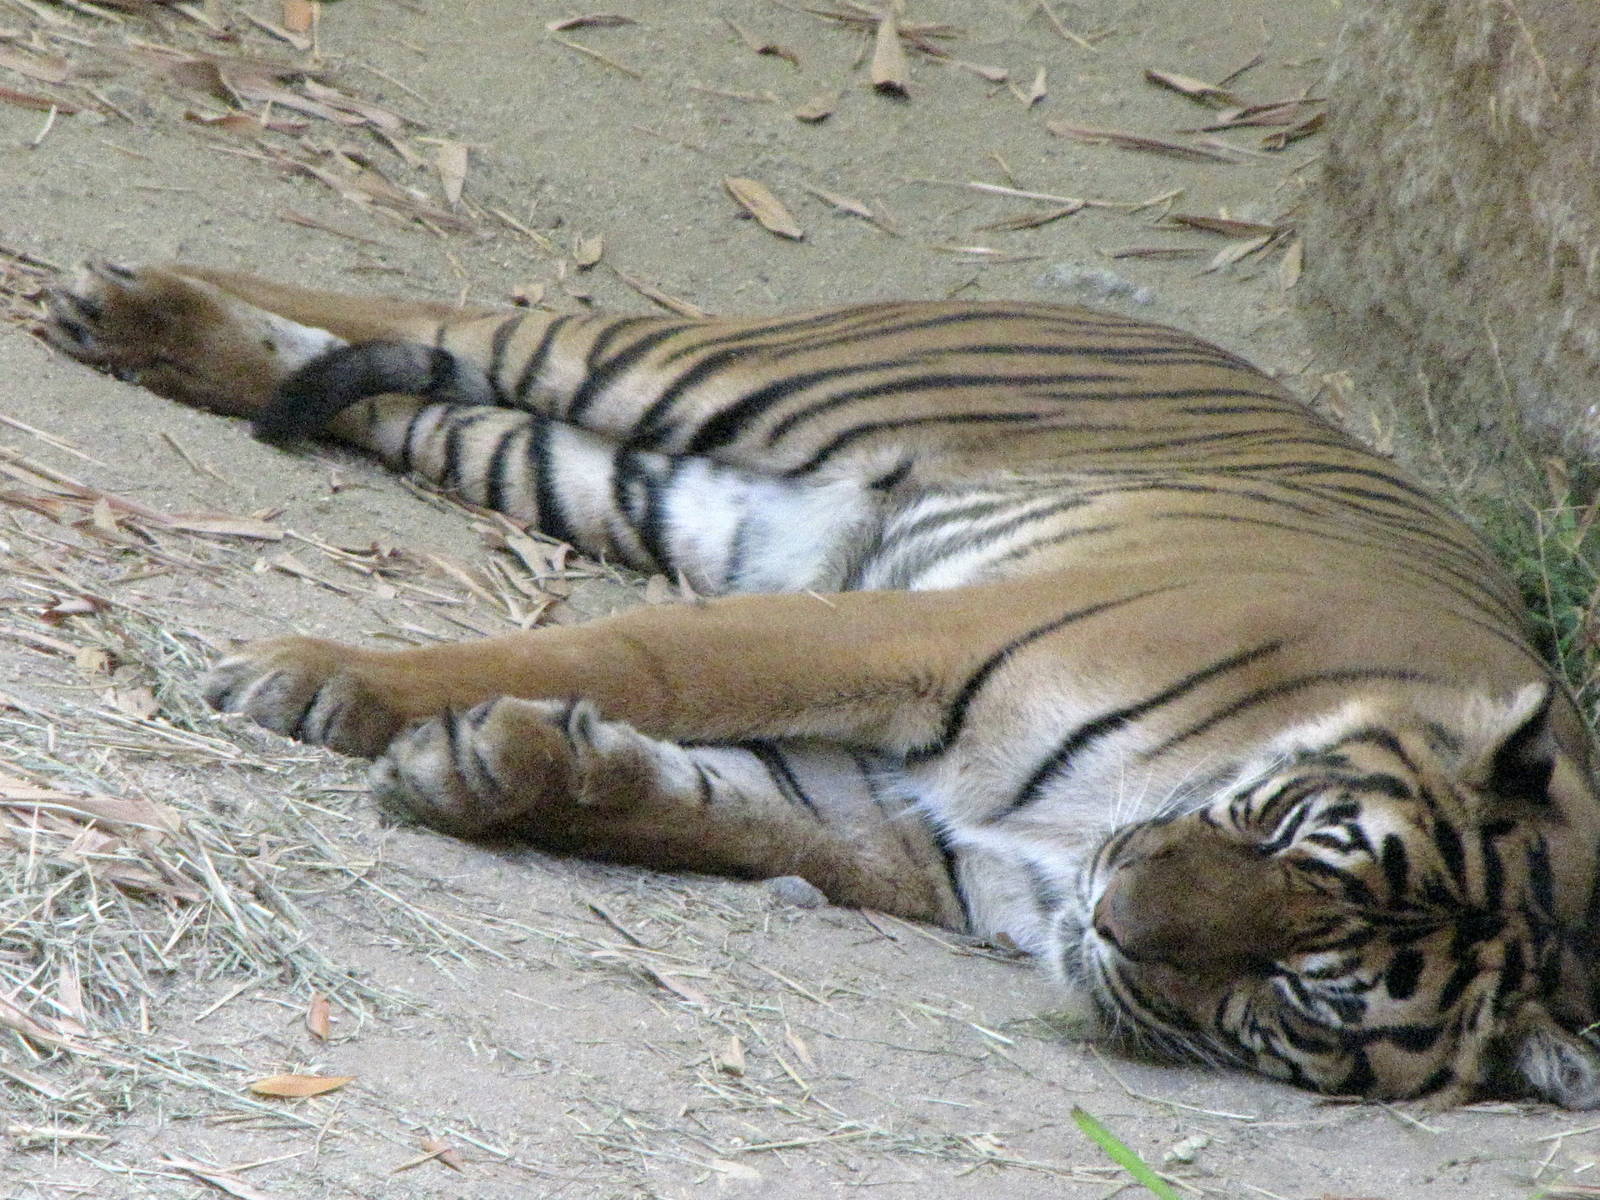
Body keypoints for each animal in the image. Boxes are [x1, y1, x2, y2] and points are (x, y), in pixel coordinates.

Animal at [40, 259, 1600, 1107]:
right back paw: (124, 310)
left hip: (610, 478)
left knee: (408, 395)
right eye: (1285, 832)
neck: (1073, 840)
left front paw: (497, 769)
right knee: (452, 309)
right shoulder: (918, 639)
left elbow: (707, 810)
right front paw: (323, 683)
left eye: (1295, 995)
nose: (1118, 913)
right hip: (699, 376)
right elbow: (643, 658)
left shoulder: (910, 833)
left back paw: (162, 338)